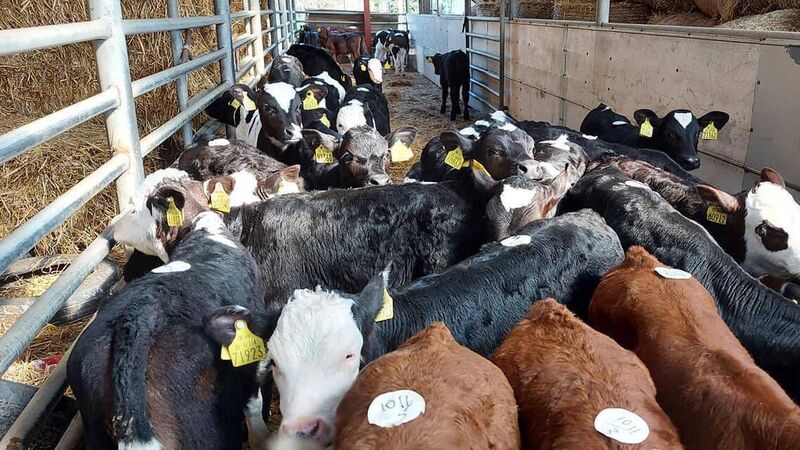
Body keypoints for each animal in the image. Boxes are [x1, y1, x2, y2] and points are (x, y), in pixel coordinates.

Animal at [69, 170, 274, 450]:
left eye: (133, 208)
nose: (112, 223)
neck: (201, 231)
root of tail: (137, 319)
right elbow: (254, 404)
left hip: (94, 431)